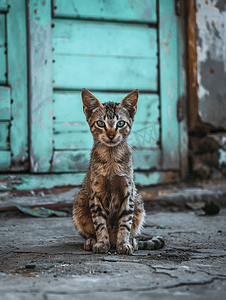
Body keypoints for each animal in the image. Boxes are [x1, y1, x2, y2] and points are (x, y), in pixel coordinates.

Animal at [73, 88, 164, 254]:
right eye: (100, 123)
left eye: (120, 123)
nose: (111, 135)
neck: (111, 160)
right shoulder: (95, 194)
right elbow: (99, 223)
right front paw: (102, 242)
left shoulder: (128, 192)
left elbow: (125, 223)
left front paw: (124, 243)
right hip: (80, 200)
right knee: (87, 232)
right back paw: (92, 241)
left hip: (138, 201)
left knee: (133, 231)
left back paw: (131, 241)